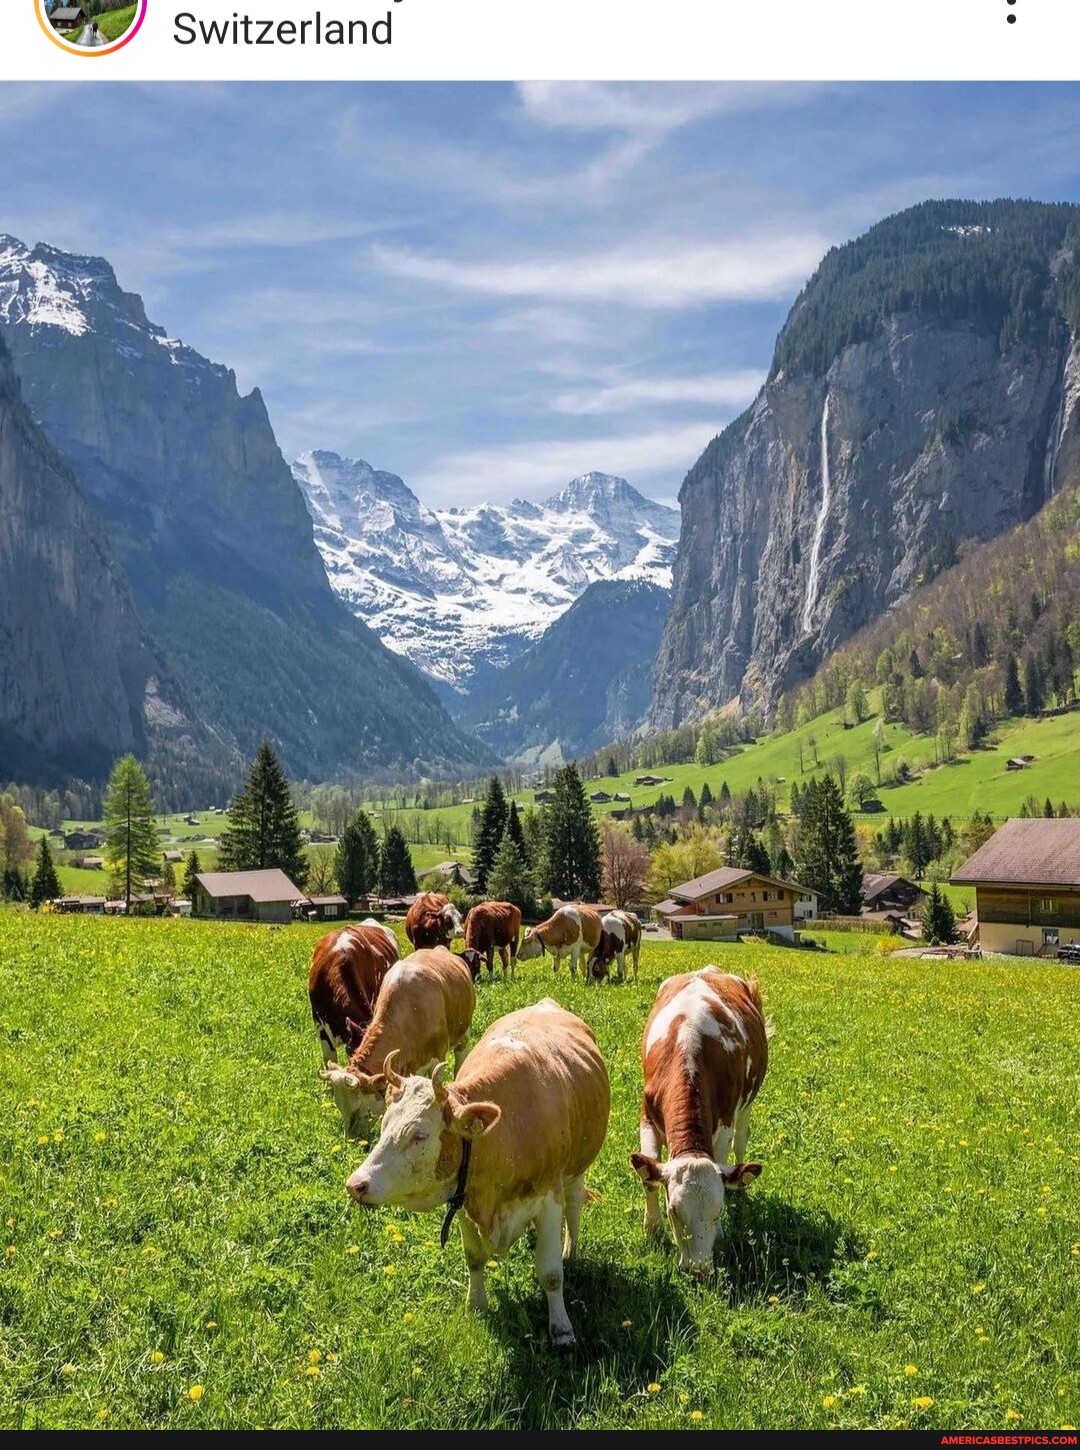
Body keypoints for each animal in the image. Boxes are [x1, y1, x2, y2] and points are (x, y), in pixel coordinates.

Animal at [349, 997, 611, 1345]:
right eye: (383, 1126)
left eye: (419, 1136)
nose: (356, 1184)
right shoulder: (462, 1197)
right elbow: (473, 1257)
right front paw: (476, 1305)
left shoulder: (549, 1198)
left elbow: (551, 1273)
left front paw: (562, 1329)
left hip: (577, 1169)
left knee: (575, 1206)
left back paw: (571, 1249)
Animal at [629, 968, 771, 1276]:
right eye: (673, 1211)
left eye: (718, 1212)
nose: (698, 1269)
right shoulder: (646, 1116)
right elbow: (648, 1178)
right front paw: (652, 1228)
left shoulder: (725, 1123)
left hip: (747, 1105)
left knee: (741, 1141)